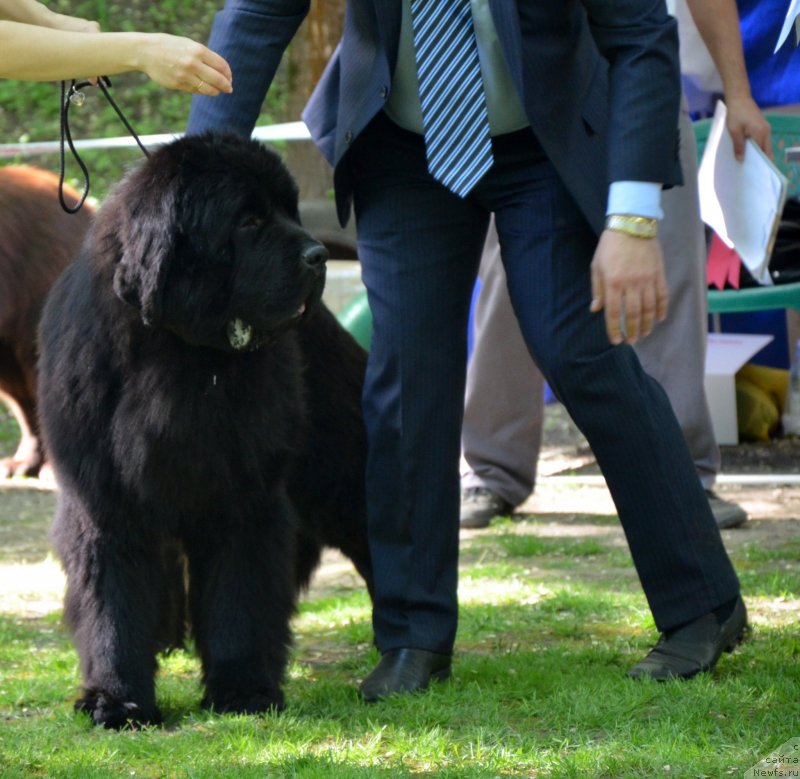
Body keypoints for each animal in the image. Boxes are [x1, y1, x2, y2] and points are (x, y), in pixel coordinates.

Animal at [36, 131, 372, 728]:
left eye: (288, 210)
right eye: (249, 220)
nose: (317, 255)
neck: (185, 356)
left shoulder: (243, 496)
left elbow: (239, 595)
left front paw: (242, 690)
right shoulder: (105, 501)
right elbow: (112, 600)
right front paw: (116, 698)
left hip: (337, 469)